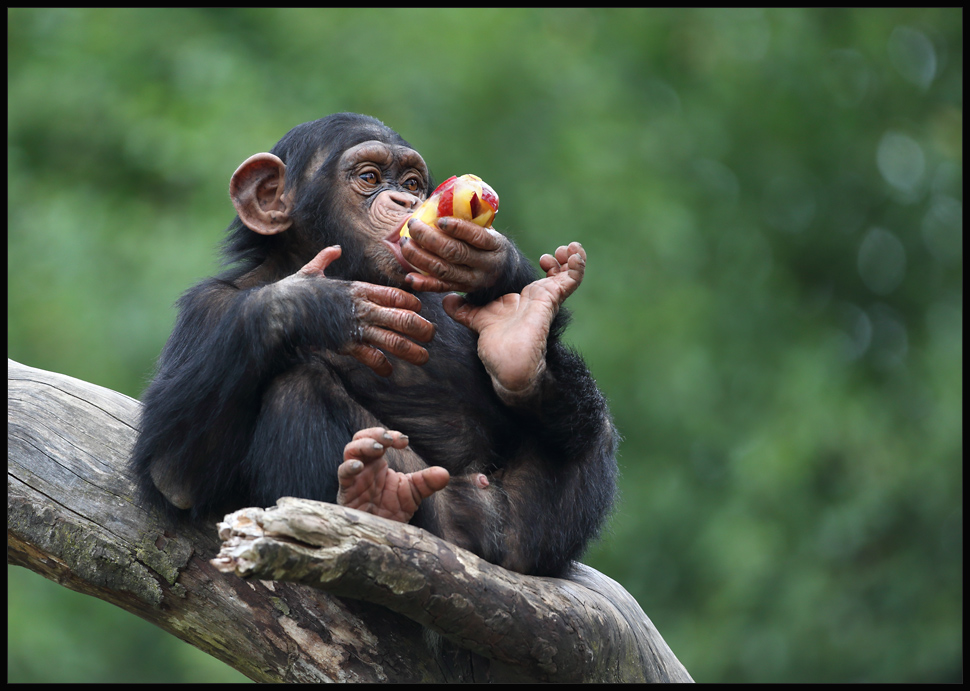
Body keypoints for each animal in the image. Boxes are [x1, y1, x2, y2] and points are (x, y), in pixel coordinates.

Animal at [129, 113, 616, 580]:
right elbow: (176, 476)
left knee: (590, 433)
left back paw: (520, 339)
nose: (404, 202)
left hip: (533, 532)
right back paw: (374, 497)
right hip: (437, 513)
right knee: (296, 385)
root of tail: (481, 537)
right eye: (369, 177)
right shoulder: (205, 310)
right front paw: (322, 305)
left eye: (413, 183)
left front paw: (494, 266)